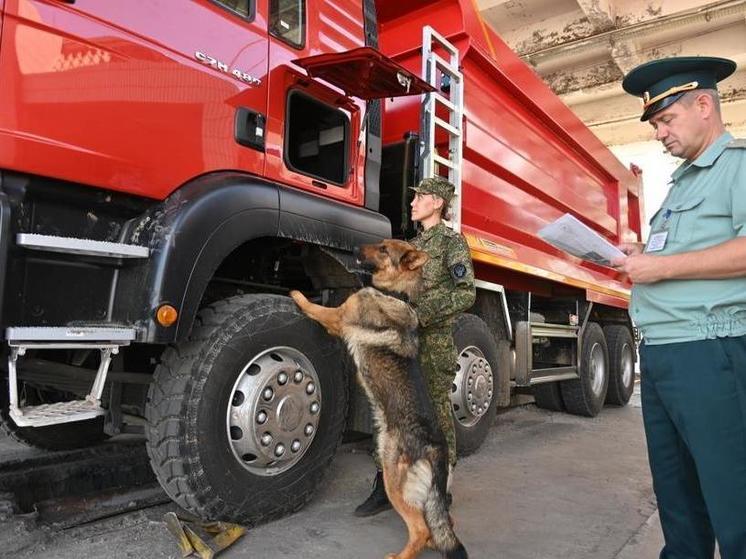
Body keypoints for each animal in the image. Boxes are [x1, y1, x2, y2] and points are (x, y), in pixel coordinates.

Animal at [290, 240, 464, 559]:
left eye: (384, 249)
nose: (355, 248)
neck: (396, 294)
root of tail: (435, 448)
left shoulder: (338, 317)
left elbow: (316, 307)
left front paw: (297, 294)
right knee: (443, 523)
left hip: (393, 479)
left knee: (420, 529)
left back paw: (401, 555)